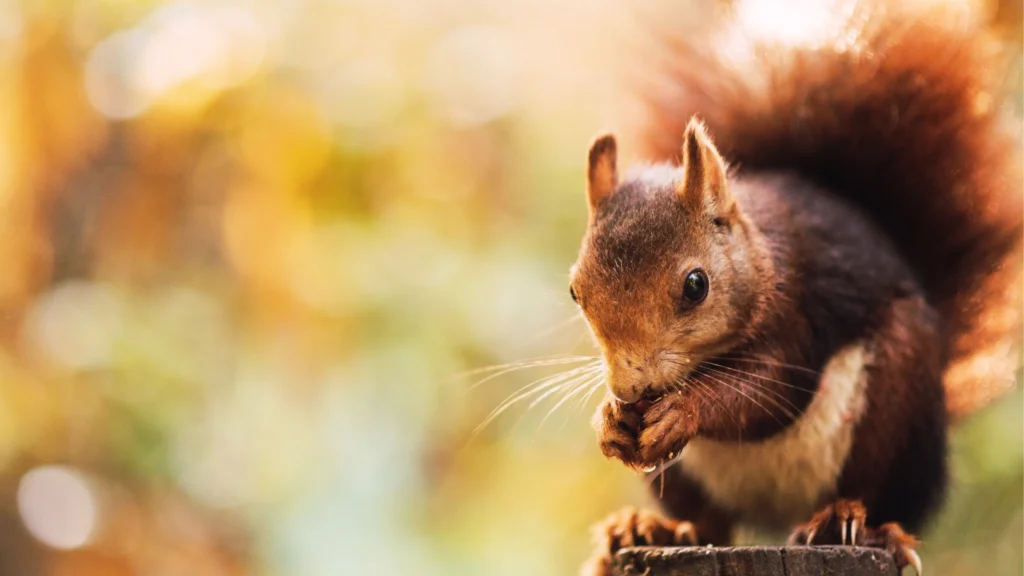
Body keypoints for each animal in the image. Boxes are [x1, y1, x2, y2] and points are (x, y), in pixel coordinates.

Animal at [570, 2, 1022, 574]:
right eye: (576, 293)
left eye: (696, 285)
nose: (631, 389)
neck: (760, 260)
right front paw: (609, 421)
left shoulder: (799, 313)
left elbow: (772, 391)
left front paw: (684, 409)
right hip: (685, 480)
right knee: (709, 525)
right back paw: (647, 528)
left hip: (897, 401)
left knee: (877, 493)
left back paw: (852, 524)